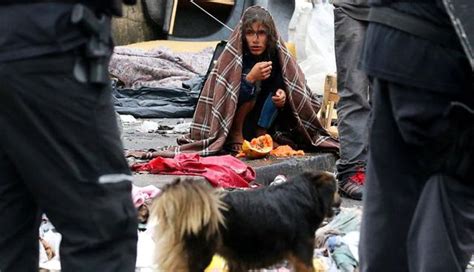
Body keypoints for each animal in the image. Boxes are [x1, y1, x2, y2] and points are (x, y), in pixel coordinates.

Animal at [152, 171, 340, 270]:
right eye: (336, 190)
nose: (340, 200)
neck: (306, 194)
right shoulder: (303, 255)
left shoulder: (237, 262)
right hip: (197, 257)